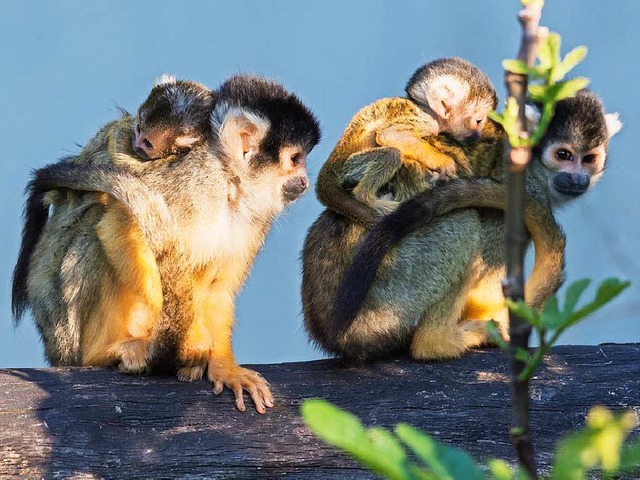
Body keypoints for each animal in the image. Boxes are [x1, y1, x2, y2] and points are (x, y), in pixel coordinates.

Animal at [15, 74, 322, 412]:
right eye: (295, 159)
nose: (304, 181)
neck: (227, 183)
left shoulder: (255, 218)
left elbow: (219, 288)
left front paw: (225, 367)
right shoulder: (188, 180)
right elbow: (118, 227)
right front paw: (192, 341)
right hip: (64, 331)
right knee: (96, 222)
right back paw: (105, 351)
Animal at [302, 87, 624, 364]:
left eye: (589, 159)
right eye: (563, 155)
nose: (577, 179)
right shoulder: (517, 197)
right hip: (382, 305)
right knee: (463, 222)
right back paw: (438, 343)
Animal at [318, 57, 498, 226]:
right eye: (478, 121)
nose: (476, 135)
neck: (426, 110)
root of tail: (330, 164)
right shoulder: (427, 122)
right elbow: (389, 135)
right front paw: (444, 162)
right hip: (349, 168)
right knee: (391, 154)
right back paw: (366, 198)